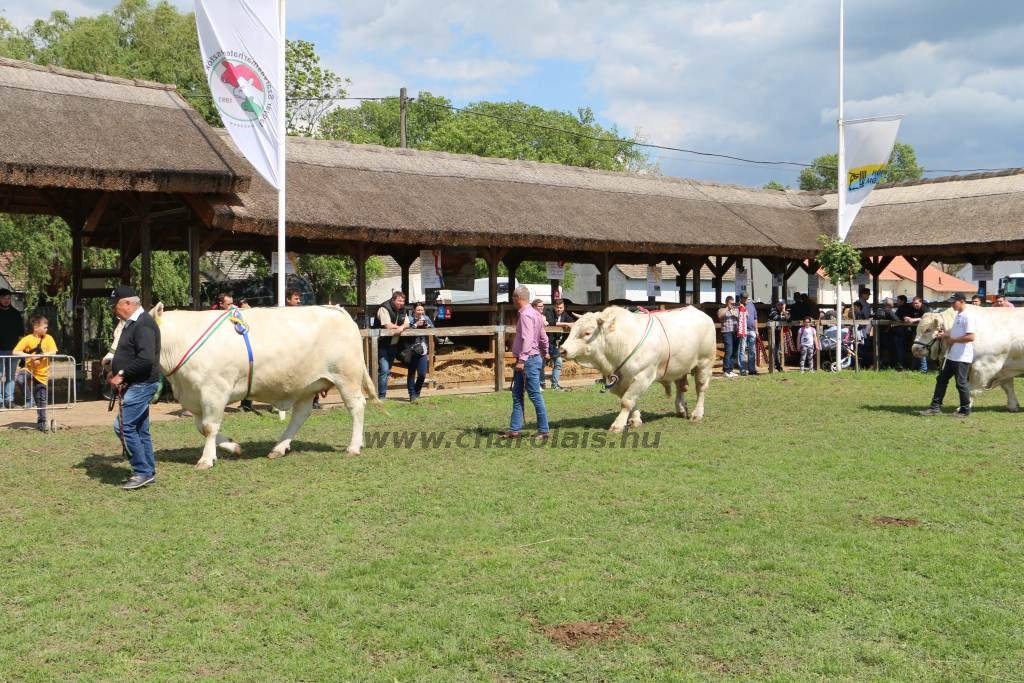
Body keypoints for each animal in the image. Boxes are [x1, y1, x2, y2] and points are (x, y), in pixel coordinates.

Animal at [149, 305, 378, 471]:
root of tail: (337, 309)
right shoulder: (194, 395)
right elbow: (201, 427)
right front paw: (233, 446)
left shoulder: (214, 391)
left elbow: (208, 427)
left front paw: (206, 459)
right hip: (307, 384)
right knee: (301, 414)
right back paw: (279, 447)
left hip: (346, 377)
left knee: (356, 406)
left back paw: (354, 446)